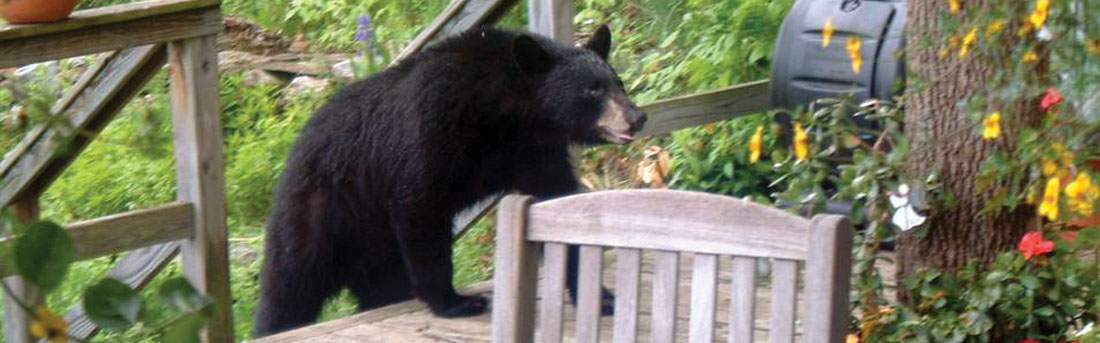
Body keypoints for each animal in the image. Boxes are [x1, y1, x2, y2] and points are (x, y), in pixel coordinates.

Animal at [253, 25, 642, 336]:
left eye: (618, 83)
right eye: (592, 90)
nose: (636, 117)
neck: (506, 113)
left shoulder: (533, 151)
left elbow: (556, 203)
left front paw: (602, 297)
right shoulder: (433, 126)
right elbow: (419, 207)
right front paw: (455, 302)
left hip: (374, 249)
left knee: (383, 287)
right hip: (320, 212)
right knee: (289, 286)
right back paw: (274, 324)